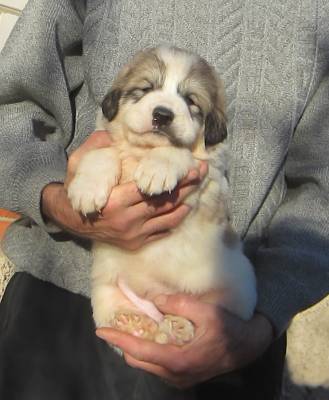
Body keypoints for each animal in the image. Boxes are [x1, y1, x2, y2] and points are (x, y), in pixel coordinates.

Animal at [66, 47, 256, 346]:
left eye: (190, 100)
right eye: (146, 89)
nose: (163, 115)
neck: (142, 152)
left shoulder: (209, 176)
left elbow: (180, 152)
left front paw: (158, 168)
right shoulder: (105, 142)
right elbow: (103, 152)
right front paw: (88, 188)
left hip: (234, 294)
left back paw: (179, 325)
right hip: (105, 288)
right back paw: (135, 322)